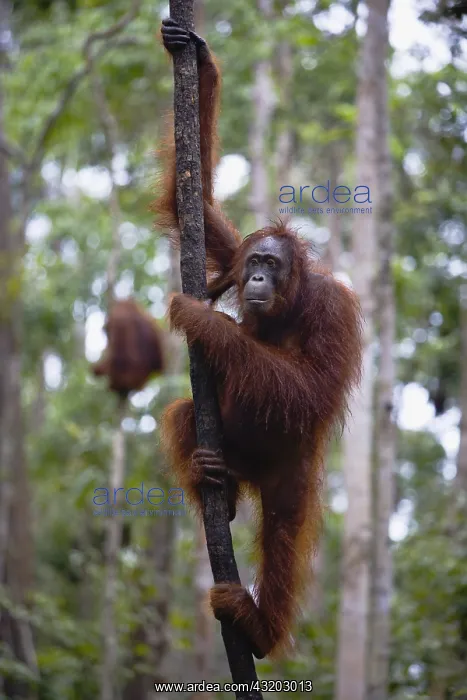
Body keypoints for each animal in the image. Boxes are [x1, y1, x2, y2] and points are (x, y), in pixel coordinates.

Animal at [154, 19, 363, 660]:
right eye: (254, 263)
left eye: (272, 264)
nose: (256, 280)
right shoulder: (227, 248)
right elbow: (193, 208)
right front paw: (199, 59)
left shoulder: (334, 312)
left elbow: (311, 389)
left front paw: (207, 322)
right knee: (182, 413)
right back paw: (213, 482)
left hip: (291, 472)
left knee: (283, 534)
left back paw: (260, 626)